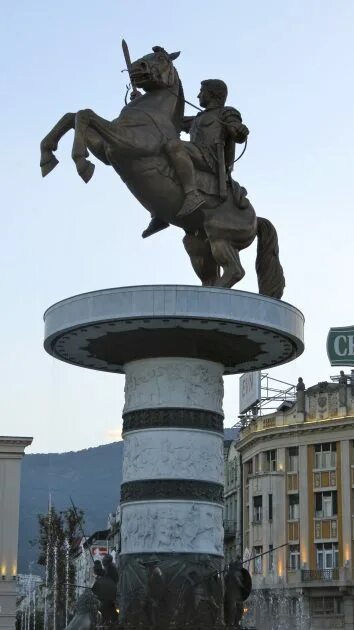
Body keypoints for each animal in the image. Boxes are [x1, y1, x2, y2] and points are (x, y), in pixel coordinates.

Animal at [40, 45, 284, 298]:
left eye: (161, 58)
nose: (136, 67)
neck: (151, 113)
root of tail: (255, 218)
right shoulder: (107, 151)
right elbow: (73, 116)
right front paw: (47, 156)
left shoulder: (129, 144)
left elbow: (85, 115)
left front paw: (81, 162)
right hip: (197, 244)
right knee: (210, 275)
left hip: (219, 237)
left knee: (235, 270)